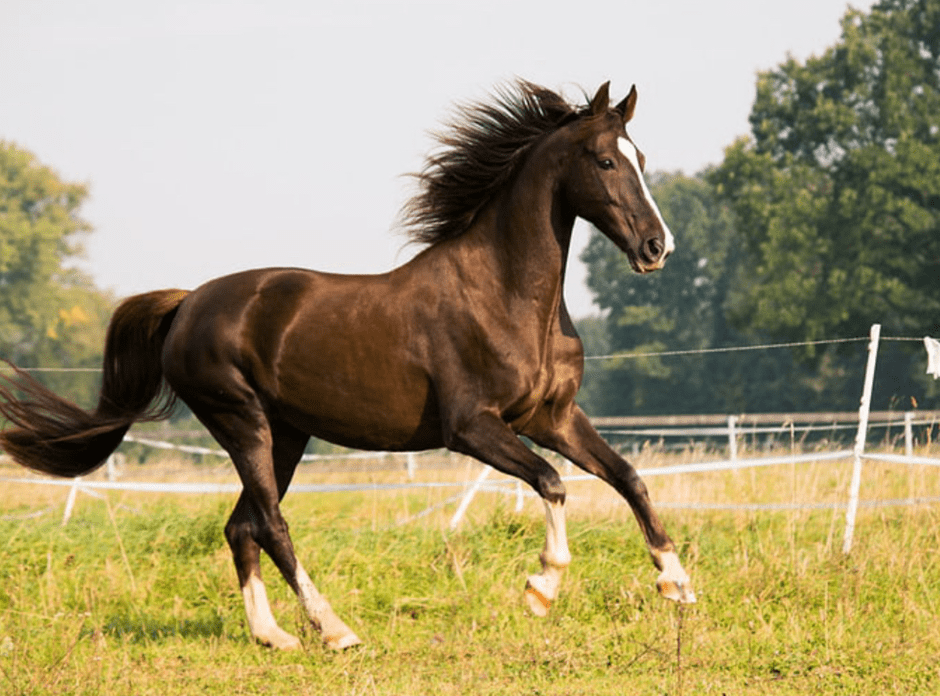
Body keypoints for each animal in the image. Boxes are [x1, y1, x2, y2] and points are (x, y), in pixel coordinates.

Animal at [0, 80, 695, 651]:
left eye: (640, 159)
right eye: (605, 160)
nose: (656, 248)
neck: (505, 296)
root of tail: (187, 303)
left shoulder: (553, 418)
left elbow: (629, 478)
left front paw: (678, 584)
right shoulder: (472, 428)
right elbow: (552, 482)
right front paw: (542, 588)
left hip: (285, 433)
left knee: (240, 526)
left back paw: (274, 635)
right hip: (242, 422)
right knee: (271, 524)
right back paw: (334, 629)